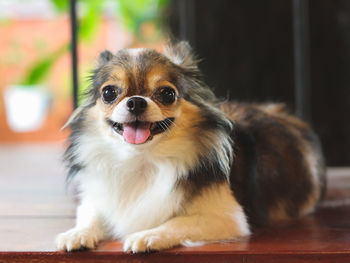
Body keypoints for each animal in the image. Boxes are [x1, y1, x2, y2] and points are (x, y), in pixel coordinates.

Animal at [54, 41, 326, 254]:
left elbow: (177, 222)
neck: (143, 160)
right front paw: (76, 234)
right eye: (109, 93)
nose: (136, 102)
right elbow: (91, 216)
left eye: (167, 94)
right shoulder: (99, 200)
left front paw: (147, 235)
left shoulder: (228, 218)